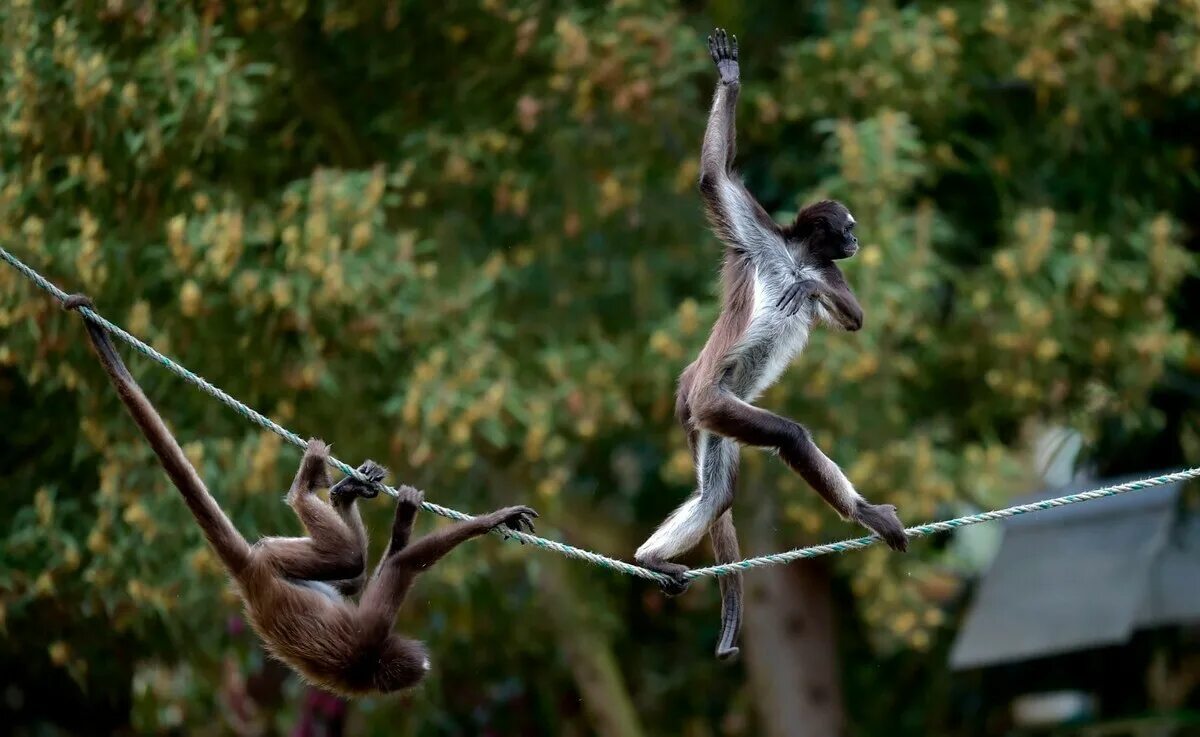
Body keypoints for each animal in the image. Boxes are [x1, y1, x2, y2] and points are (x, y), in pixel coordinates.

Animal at [63, 291, 537, 696]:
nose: (427, 661)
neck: (368, 670)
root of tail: (251, 578)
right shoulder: (371, 636)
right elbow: (403, 565)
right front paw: (485, 518)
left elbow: (386, 569)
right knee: (353, 562)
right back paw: (314, 486)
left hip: (277, 561)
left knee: (353, 571)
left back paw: (332, 491)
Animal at [633, 30, 902, 662]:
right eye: (848, 227)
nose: (856, 241)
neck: (797, 255)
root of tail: (693, 384)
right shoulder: (760, 239)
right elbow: (714, 180)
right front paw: (729, 78)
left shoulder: (827, 267)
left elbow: (854, 319)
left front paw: (806, 289)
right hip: (715, 399)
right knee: (788, 438)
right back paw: (862, 511)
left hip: (717, 416)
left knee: (717, 492)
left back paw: (653, 556)